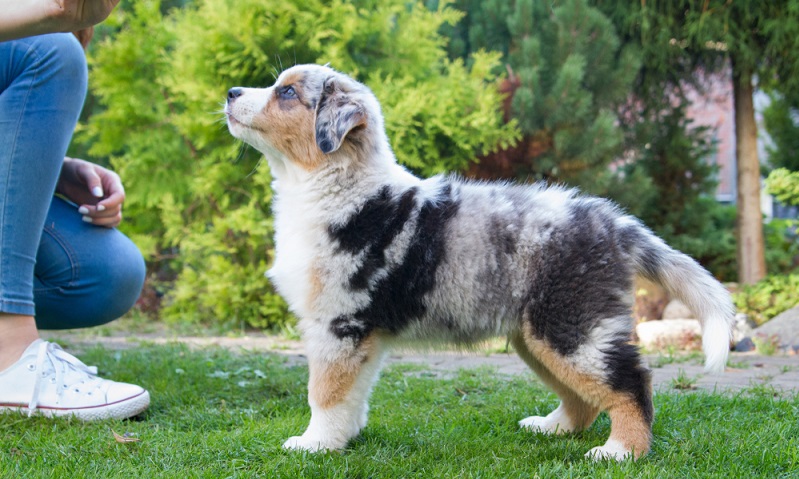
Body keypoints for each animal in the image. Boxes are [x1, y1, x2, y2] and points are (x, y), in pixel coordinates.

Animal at [223, 63, 732, 462]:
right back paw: (551, 428)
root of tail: (615, 222)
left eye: (287, 92)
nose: (230, 92)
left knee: (630, 381)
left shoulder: (339, 322)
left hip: (571, 325)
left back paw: (622, 451)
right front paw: (341, 440)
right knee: (584, 396)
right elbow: (351, 395)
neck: (330, 184)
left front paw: (313, 444)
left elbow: (324, 392)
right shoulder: (360, 333)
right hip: (537, 334)